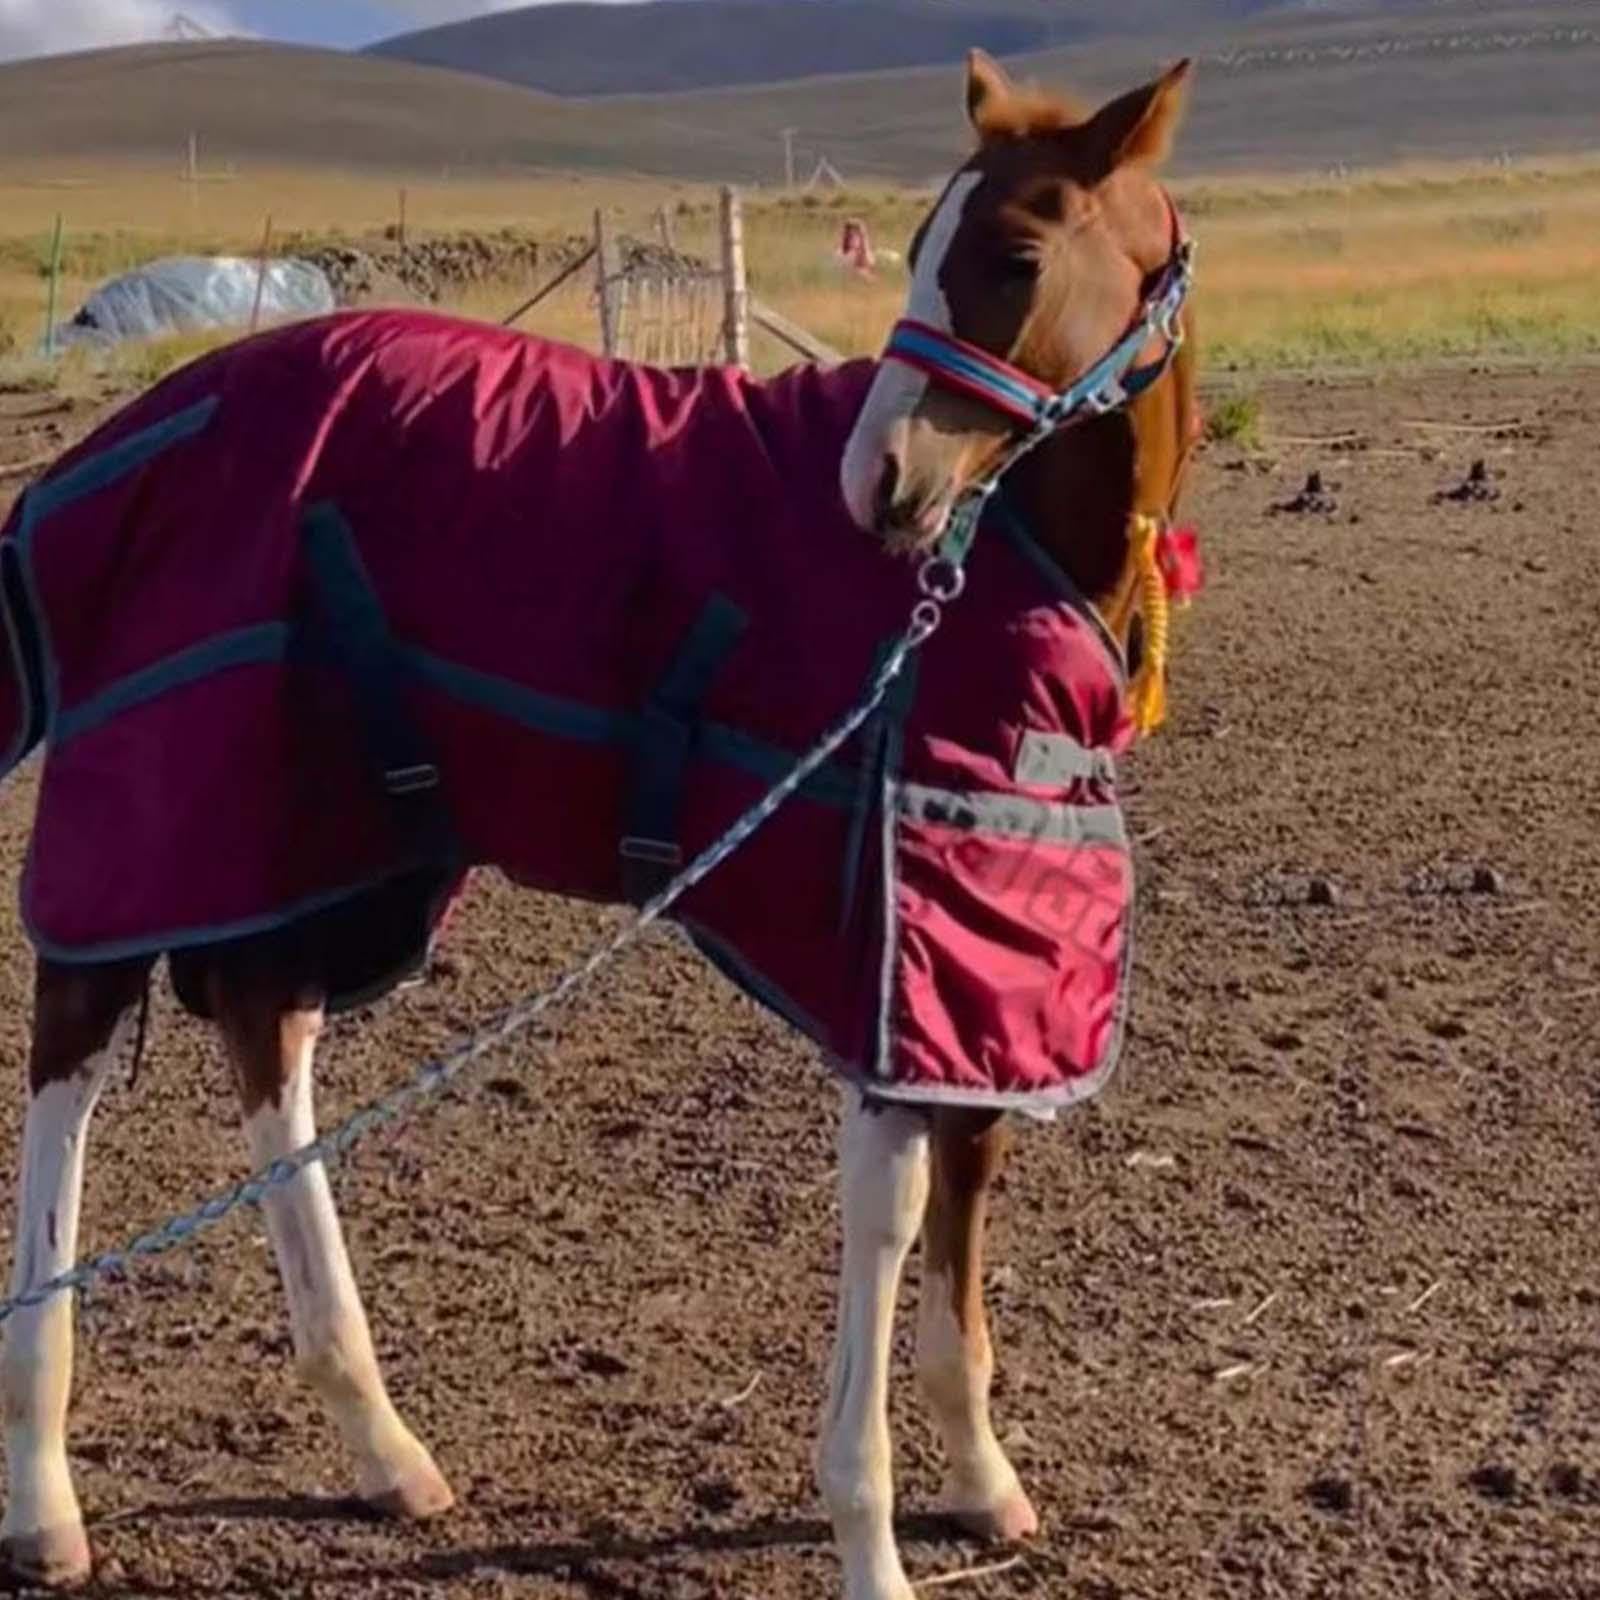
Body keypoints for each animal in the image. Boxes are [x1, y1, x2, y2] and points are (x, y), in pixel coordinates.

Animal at [0, 49, 1199, 1600]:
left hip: (316, 841)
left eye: (1013, 252)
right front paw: (871, 1536)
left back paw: (381, 1443)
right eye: (917, 248)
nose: (877, 486)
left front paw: (981, 1480)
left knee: (266, 1039)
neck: (1006, 571)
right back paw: (42, 1492)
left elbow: (968, 1184)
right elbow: (887, 1217)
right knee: (69, 1067)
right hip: (150, 828)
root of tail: (115, 442)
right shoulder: (890, 951)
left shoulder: (982, 952)